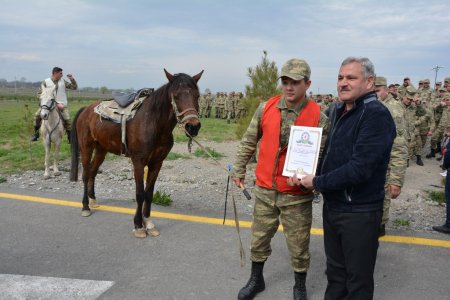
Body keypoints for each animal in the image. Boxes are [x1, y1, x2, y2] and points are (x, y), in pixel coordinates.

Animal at [71, 69, 204, 237]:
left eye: (197, 96)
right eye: (176, 96)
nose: (193, 127)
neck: (153, 123)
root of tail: (86, 109)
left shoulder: (157, 163)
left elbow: (149, 193)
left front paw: (149, 223)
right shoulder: (139, 161)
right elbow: (140, 194)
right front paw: (139, 225)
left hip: (101, 150)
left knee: (93, 172)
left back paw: (93, 200)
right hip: (86, 148)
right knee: (86, 174)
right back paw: (85, 207)